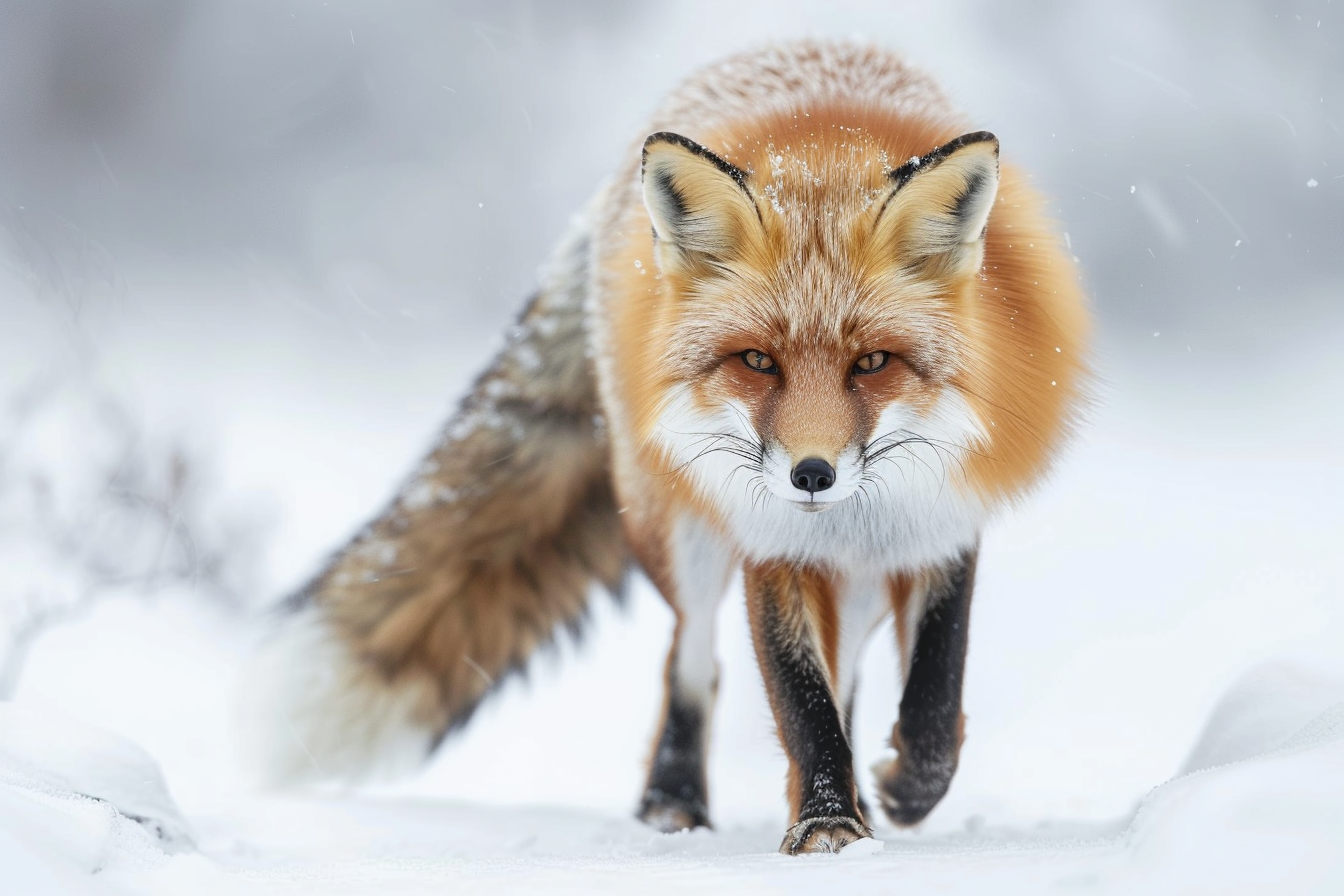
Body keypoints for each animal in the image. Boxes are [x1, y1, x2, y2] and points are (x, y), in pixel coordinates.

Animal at [242, 40, 1089, 855]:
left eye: (873, 362)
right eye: (758, 361)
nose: (811, 474)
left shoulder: (943, 521)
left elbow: (937, 686)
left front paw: (903, 790)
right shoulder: (767, 538)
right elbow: (801, 700)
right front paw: (826, 824)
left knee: (836, 673)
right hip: (681, 533)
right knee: (693, 661)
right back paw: (674, 801)